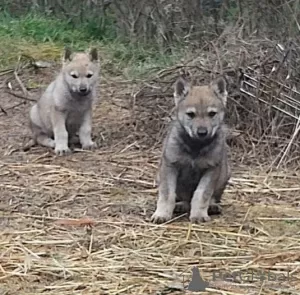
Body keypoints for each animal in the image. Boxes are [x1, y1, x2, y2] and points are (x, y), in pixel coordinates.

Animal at [151, 75, 231, 223]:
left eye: (212, 114)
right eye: (190, 114)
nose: (202, 132)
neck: (195, 147)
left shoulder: (211, 169)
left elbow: (202, 194)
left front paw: (199, 215)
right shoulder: (170, 166)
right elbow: (167, 194)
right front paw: (162, 214)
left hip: (225, 173)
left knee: (211, 198)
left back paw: (212, 206)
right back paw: (181, 205)